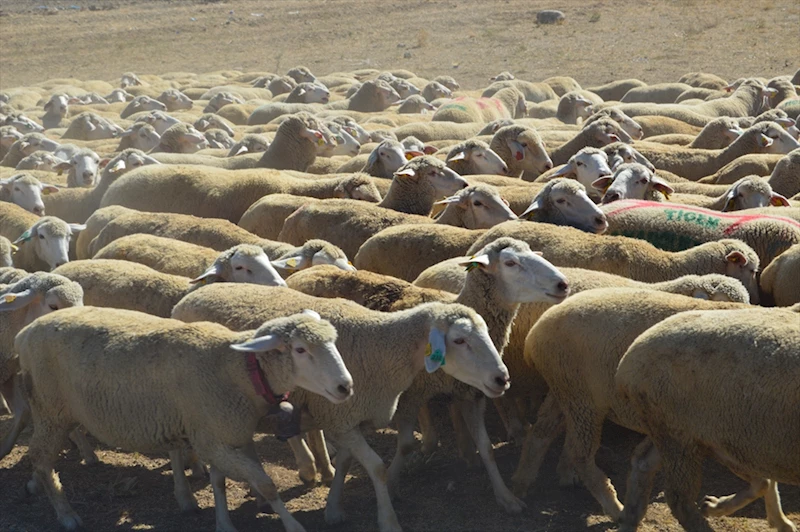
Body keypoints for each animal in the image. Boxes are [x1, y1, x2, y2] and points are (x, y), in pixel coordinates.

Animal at [15, 306, 352, 532]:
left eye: (333, 343)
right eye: (300, 349)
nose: (345, 386)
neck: (237, 368)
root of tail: (26, 332)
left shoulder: (226, 433)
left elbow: (222, 480)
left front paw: (225, 519)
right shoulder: (210, 440)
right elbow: (266, 485)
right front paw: (292, 524)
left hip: (54, 411)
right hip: (50, 409)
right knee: (40, 457)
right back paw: (66, 514)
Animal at [171, 284, 510, 532]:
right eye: (460, 340)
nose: (502, 378)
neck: (379, 347)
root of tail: (187, 297)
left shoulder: (348, 419)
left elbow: (347, 463)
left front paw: (334, 509)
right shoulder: (340, 418)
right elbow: (376, 467)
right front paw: (388, 520)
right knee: (184, 451)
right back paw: (191, 500)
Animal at [512, 288, 752, 516]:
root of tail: (535, 333)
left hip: (564, 387)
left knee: (540, 434)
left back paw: (521, 485)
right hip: (581, 397)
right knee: (580, 455)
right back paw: (615, 508)